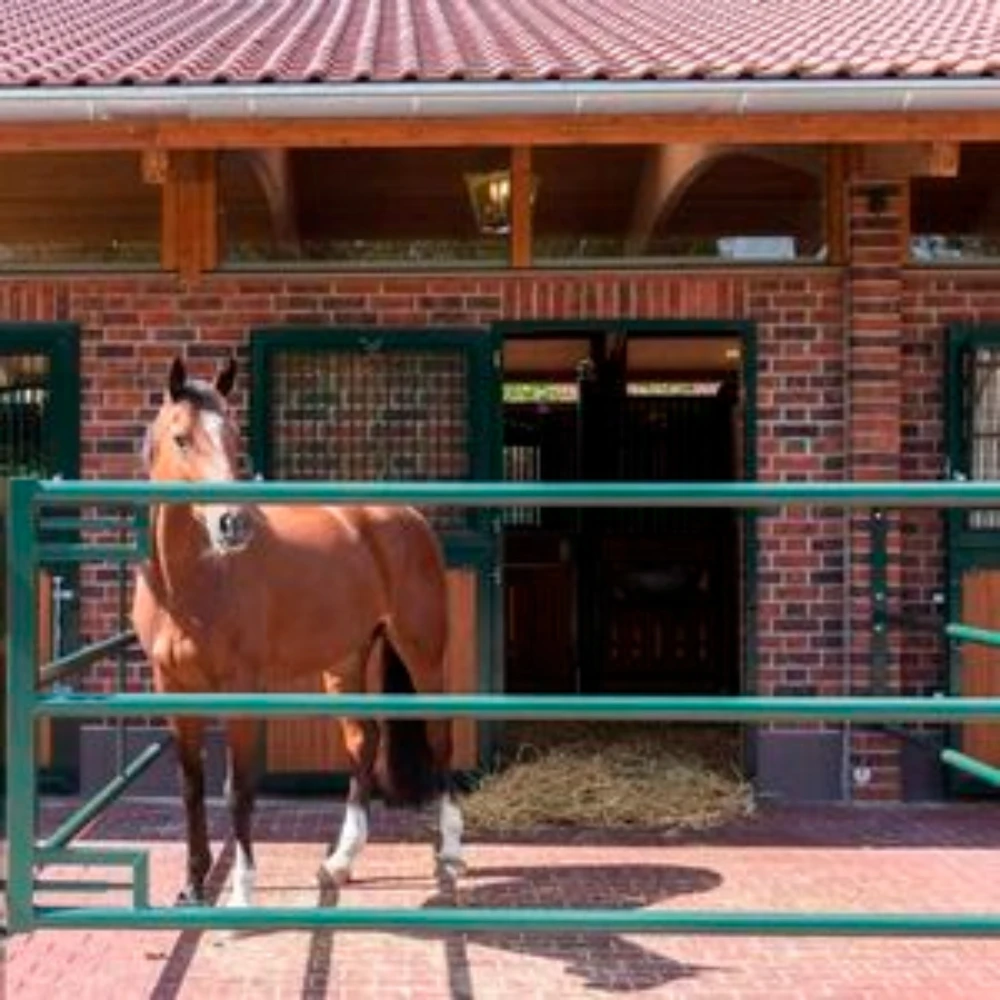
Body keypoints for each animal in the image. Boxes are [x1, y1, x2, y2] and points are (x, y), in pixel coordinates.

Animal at [132, 355, 466, 909]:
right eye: (181, 438)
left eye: (234, 437)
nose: (232, 525)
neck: (189, 584)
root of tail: (406, 516)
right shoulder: (172, 688)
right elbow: (191, 787)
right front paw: (193, 886)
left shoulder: (241, 687)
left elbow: (238, 788)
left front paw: (241, 892)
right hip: (344, 659)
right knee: (364, 741)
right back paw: (339, 863)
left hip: (421, 650)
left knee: (440, 736)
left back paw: (452, 856)